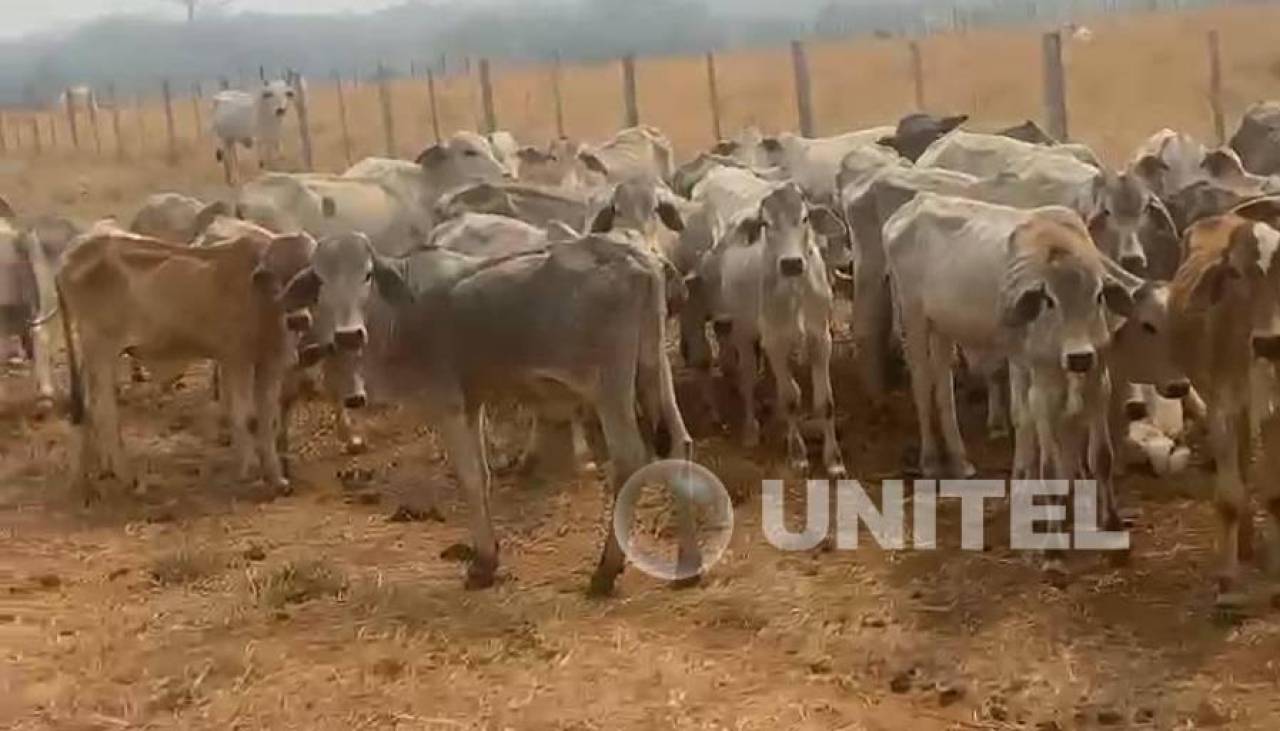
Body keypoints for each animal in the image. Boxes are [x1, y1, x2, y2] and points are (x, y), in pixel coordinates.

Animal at [55, 222, 317, 496]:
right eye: (276, 276)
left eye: (311, 276)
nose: (298, 319)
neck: (262, 300)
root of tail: (70, 254)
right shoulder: (237, 359)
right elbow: (247, 417)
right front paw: (246, 473)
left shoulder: (271, 362)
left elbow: (268, 420)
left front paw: (276, 479)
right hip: (101, 349)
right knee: (104, 411)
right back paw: (127, 478)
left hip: (90, 355)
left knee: (87, 406)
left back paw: (90, 474)